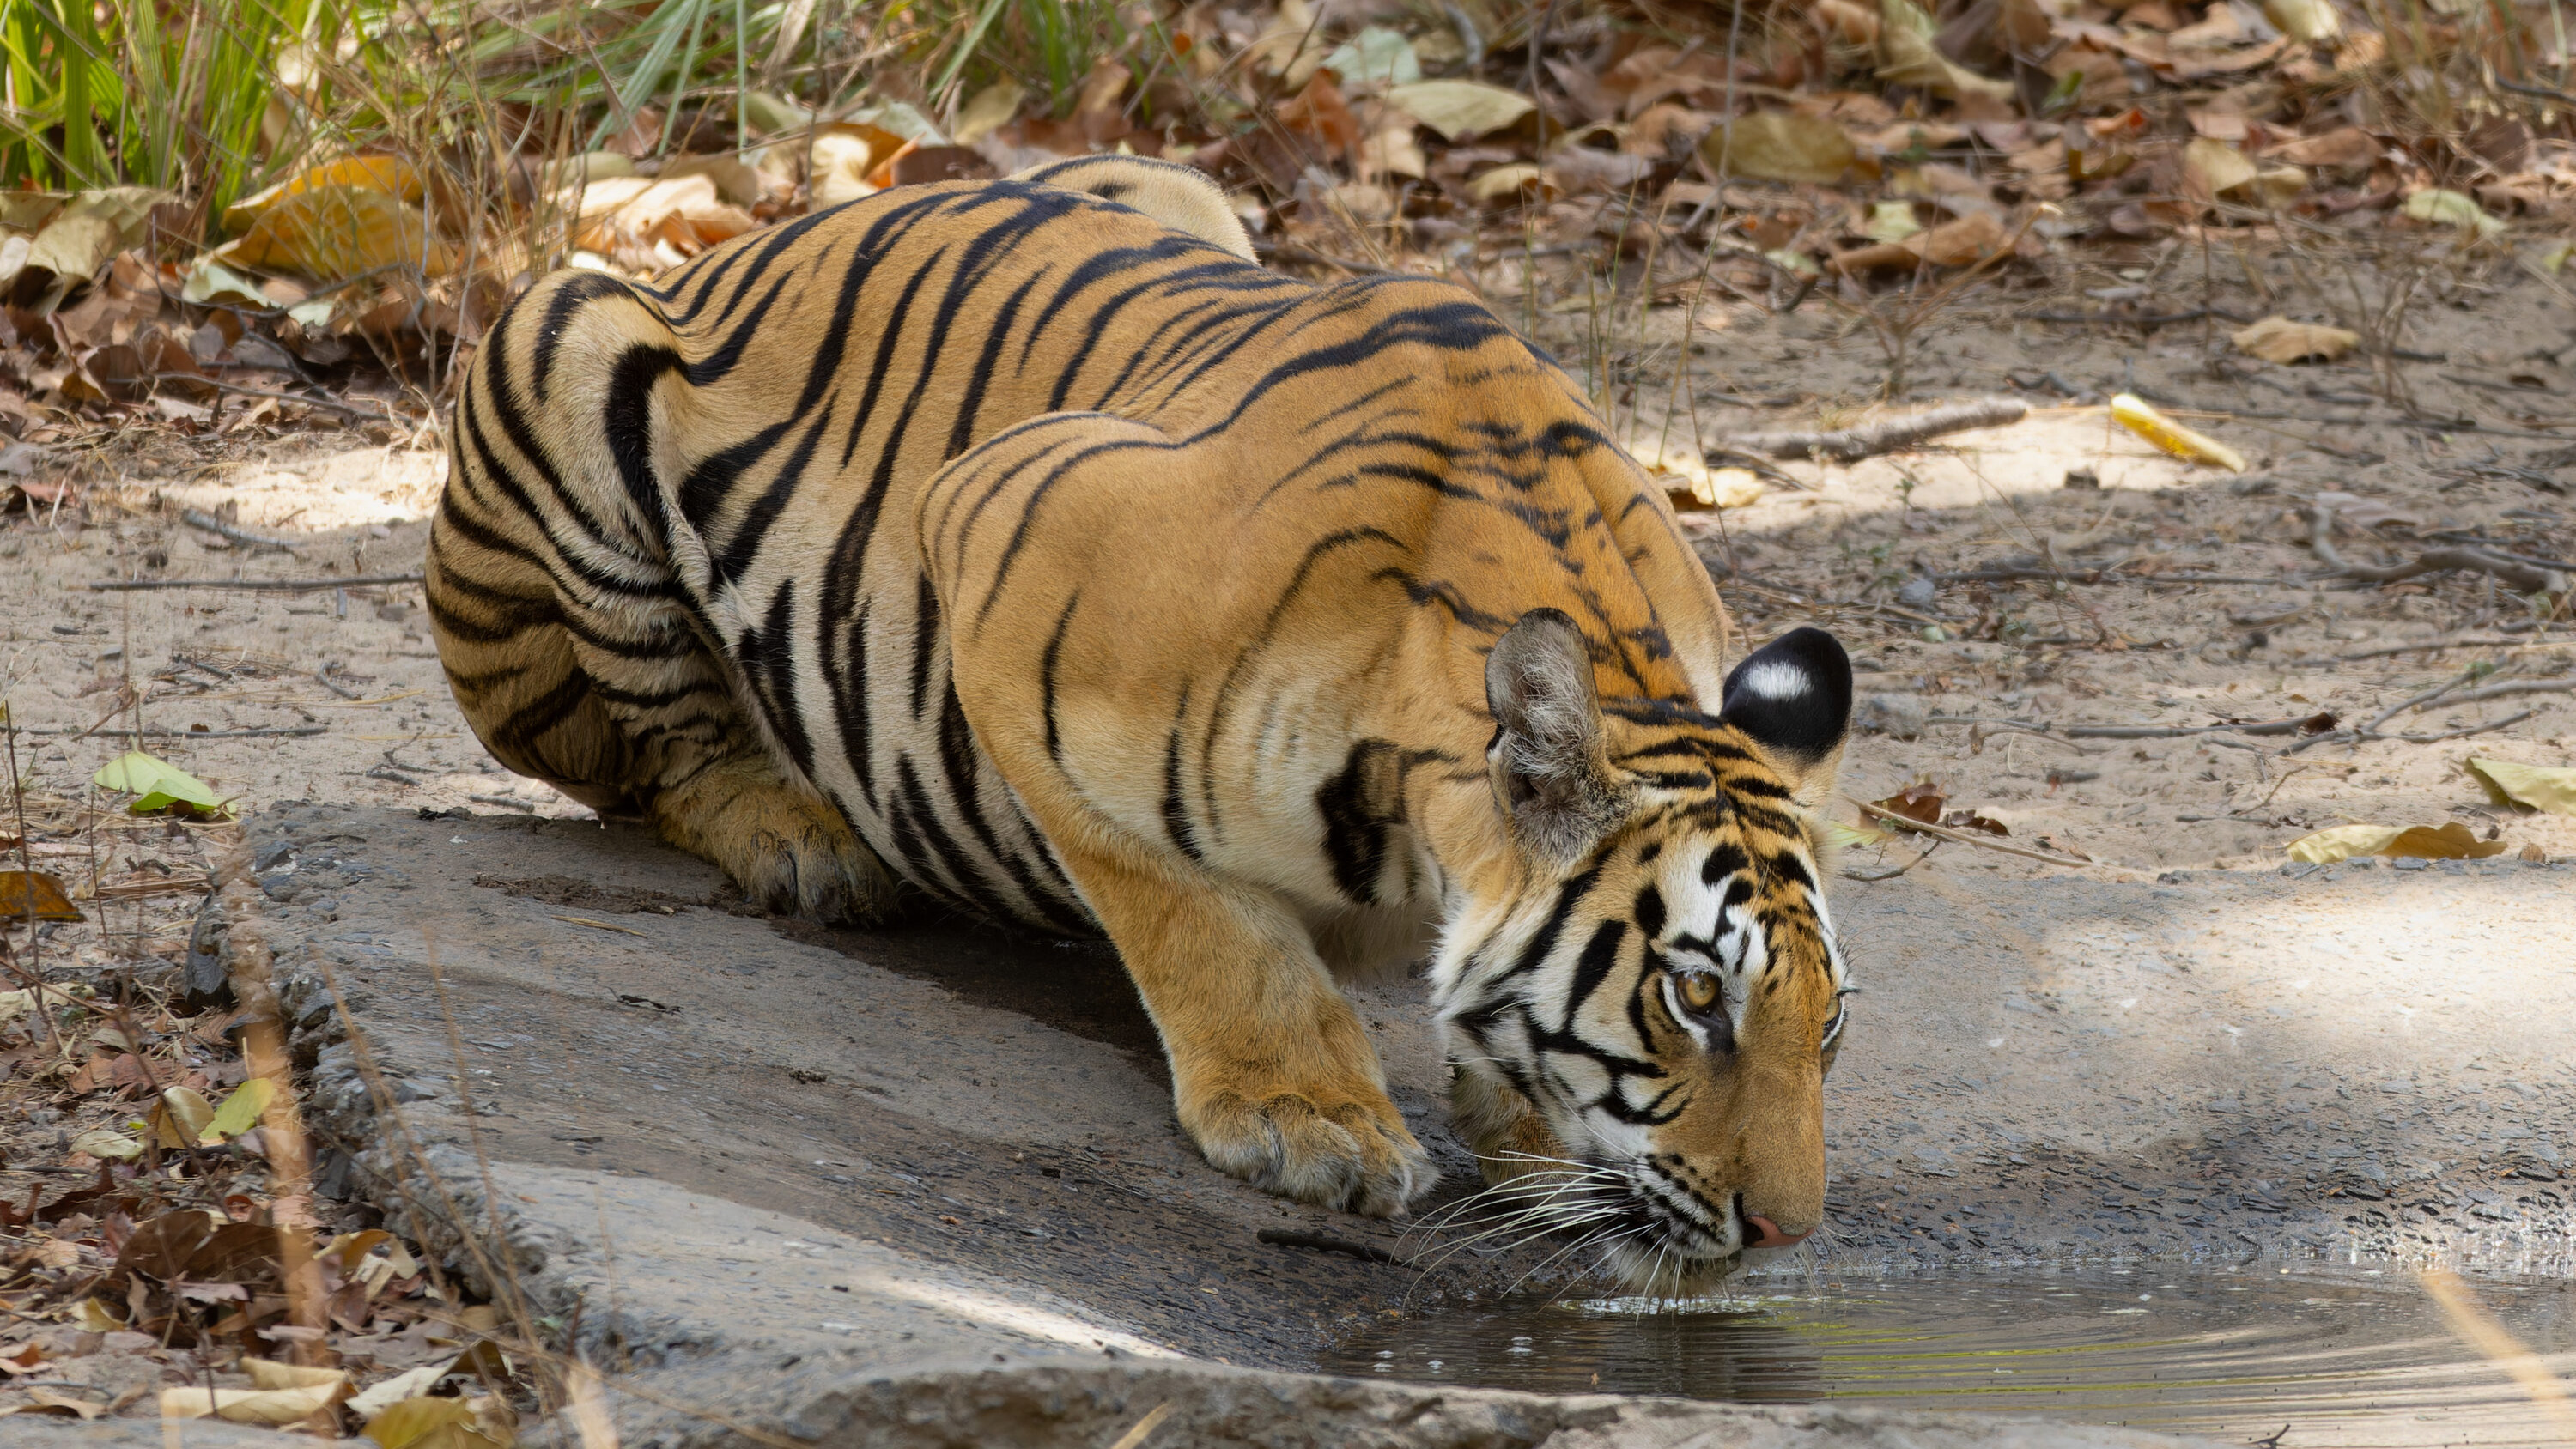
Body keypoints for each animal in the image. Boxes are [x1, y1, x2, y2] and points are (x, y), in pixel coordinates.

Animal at [425, 154, 1856, 1293]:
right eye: (1694, 997)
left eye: (1827, 1024)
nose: (1786, 1234)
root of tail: (751, 241)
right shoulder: (1003, 548)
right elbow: (1200, 916)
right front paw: (1308, 1120)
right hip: (555, 343)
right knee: (653, 755)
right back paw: (803, 842)